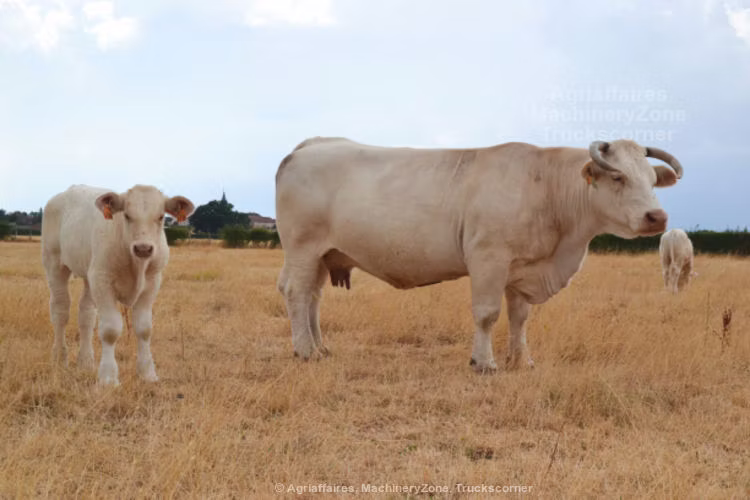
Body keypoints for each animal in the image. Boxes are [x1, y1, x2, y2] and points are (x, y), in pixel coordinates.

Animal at [41, 184, 194, 385]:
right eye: (127, 215)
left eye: (161, 216)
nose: (143, 248)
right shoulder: (103, 282)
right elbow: (110, 330)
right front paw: (108, 378)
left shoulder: (152, 282)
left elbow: (144, 328)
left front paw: (147, 373)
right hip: (54, 264)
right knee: (60, 311)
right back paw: (60, 358)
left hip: (90, 274)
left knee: (86, 315)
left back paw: (86, 362)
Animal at [275, 138, 683, 372]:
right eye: (618, 178)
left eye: (652, 179)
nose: (657, 217)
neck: (546, 187)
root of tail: (306, 148)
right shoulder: (489, 259)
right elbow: (487, 315)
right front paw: (484, 362)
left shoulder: (522, 268)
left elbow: (520, 318)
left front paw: (521, 359)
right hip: (302, 249)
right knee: (297, 294)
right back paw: (305, 351)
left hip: (324, 255)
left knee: (312, 298)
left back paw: (319, 345)